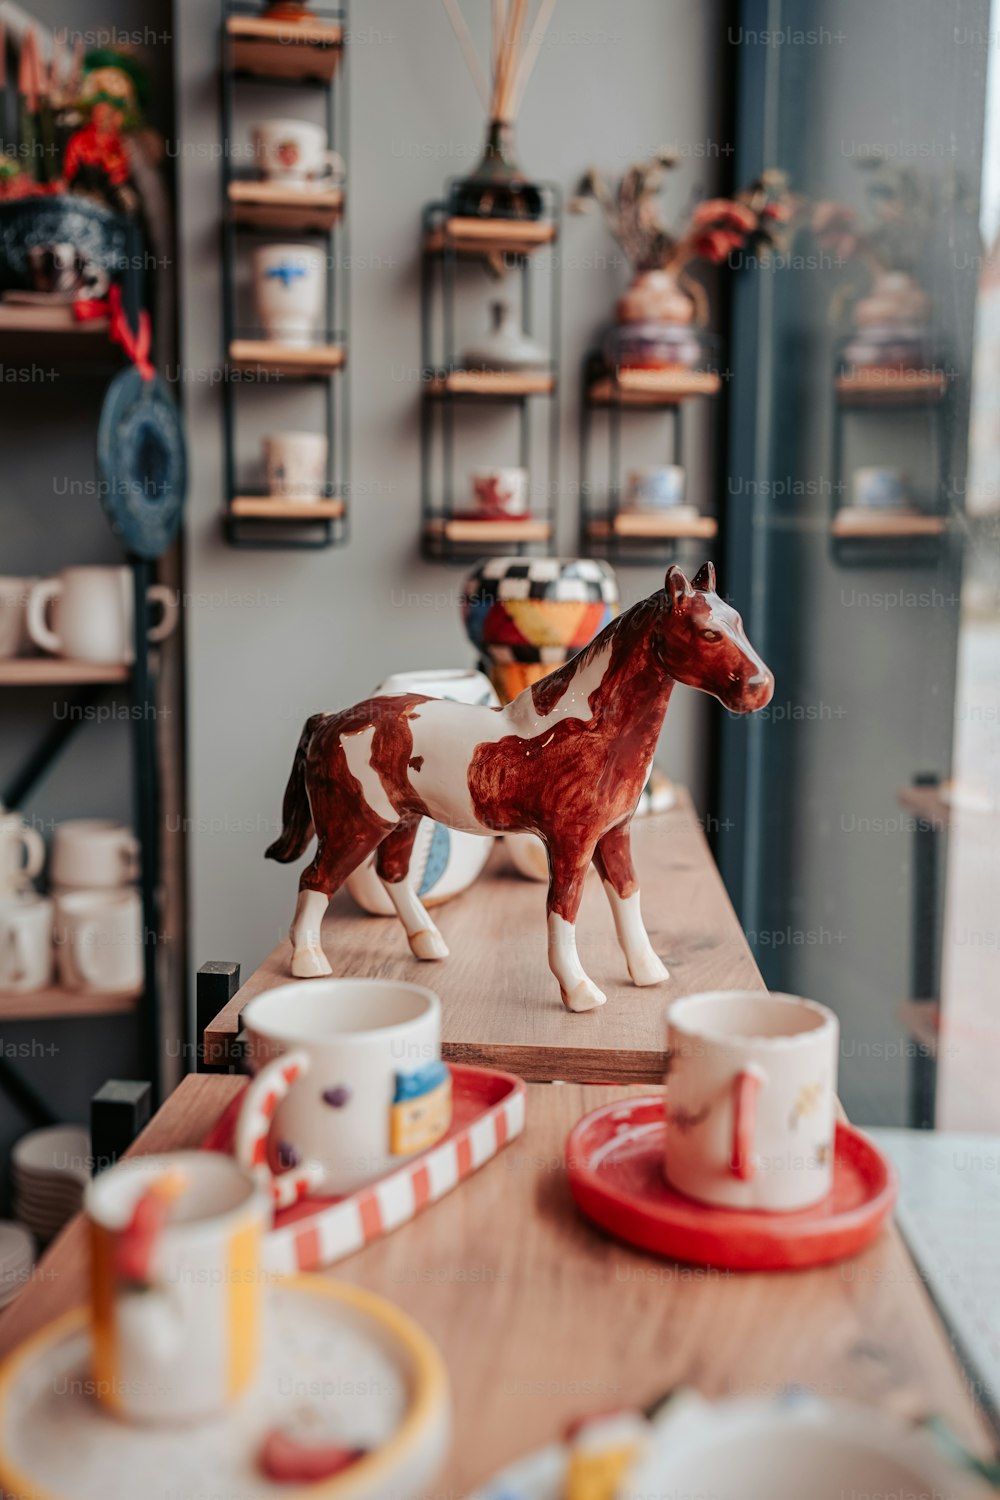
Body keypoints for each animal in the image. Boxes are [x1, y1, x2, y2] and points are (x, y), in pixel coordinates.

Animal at [265, 567, 773, 1014]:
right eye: (707, 633)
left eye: (738, 622)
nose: (761, 687)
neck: (589, 731)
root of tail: (330, 721)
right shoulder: (570, 842)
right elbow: (564, 908)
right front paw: (580, 993)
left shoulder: (614, 833)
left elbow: (627, 892)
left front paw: (648, 972)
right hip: (355, 825)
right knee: (316, 880)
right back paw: (309, 963)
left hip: (404, 819)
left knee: (393, 875)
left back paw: (430, 945)